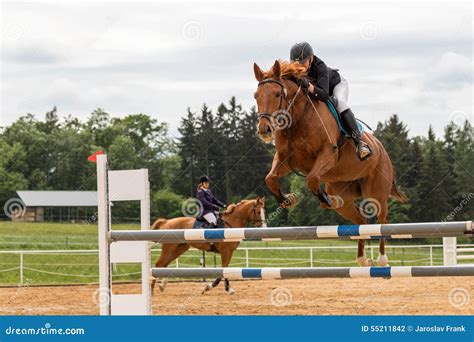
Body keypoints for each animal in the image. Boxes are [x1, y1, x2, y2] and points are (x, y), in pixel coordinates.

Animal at [254, 60, 406, 266]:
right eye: (256, 96)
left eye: (278, 94)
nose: (264, 129)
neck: (298, 118)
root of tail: (382, 149)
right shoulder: (285, 159)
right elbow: (270, 178)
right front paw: (288, 199)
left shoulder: (328, 154)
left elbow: (311, 179)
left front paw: (323, 199)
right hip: (343, 195)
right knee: (361, 220)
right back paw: (362, 259)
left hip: (377, 192)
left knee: (382, 220)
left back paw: (382, 260)